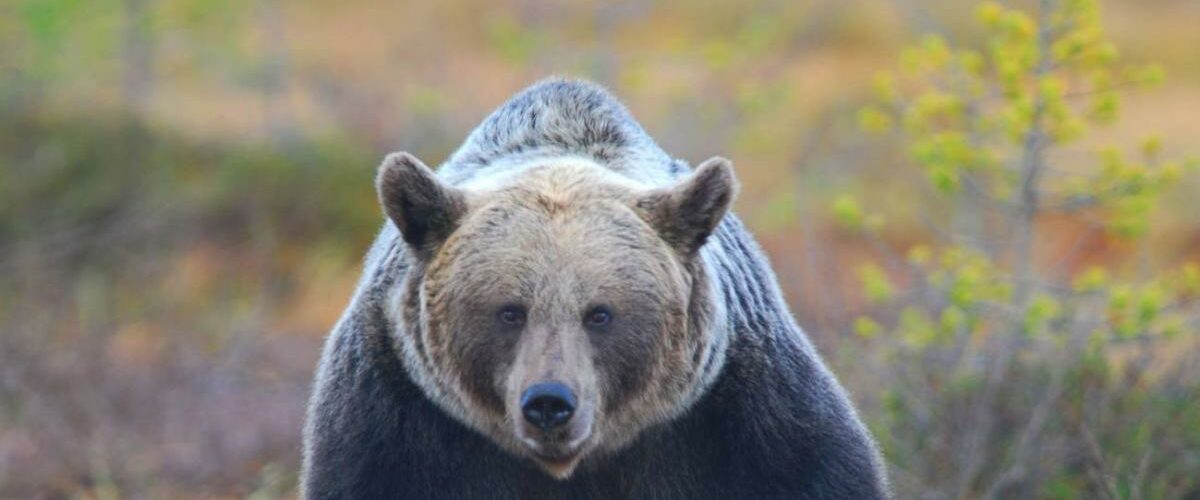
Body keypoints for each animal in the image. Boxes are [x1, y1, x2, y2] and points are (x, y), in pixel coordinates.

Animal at [301, 78, 890, 499]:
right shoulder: (398, 424)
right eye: (510, 310)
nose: (549, 403)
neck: (574, 467)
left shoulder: (737, 420)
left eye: (600, 313)